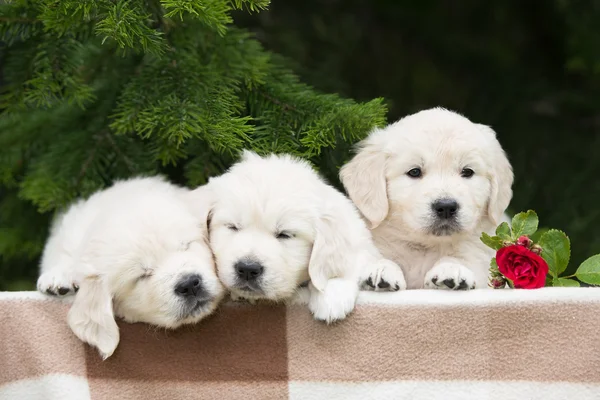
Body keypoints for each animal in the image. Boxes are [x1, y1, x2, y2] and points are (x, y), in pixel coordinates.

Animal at [340, 108, 512, 290]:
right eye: (414, 172)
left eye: (467, 172)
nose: (446, 207)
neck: (426, 248)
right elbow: (383, 258)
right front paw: (381, 269)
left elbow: (463, 259)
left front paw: (451, 268)